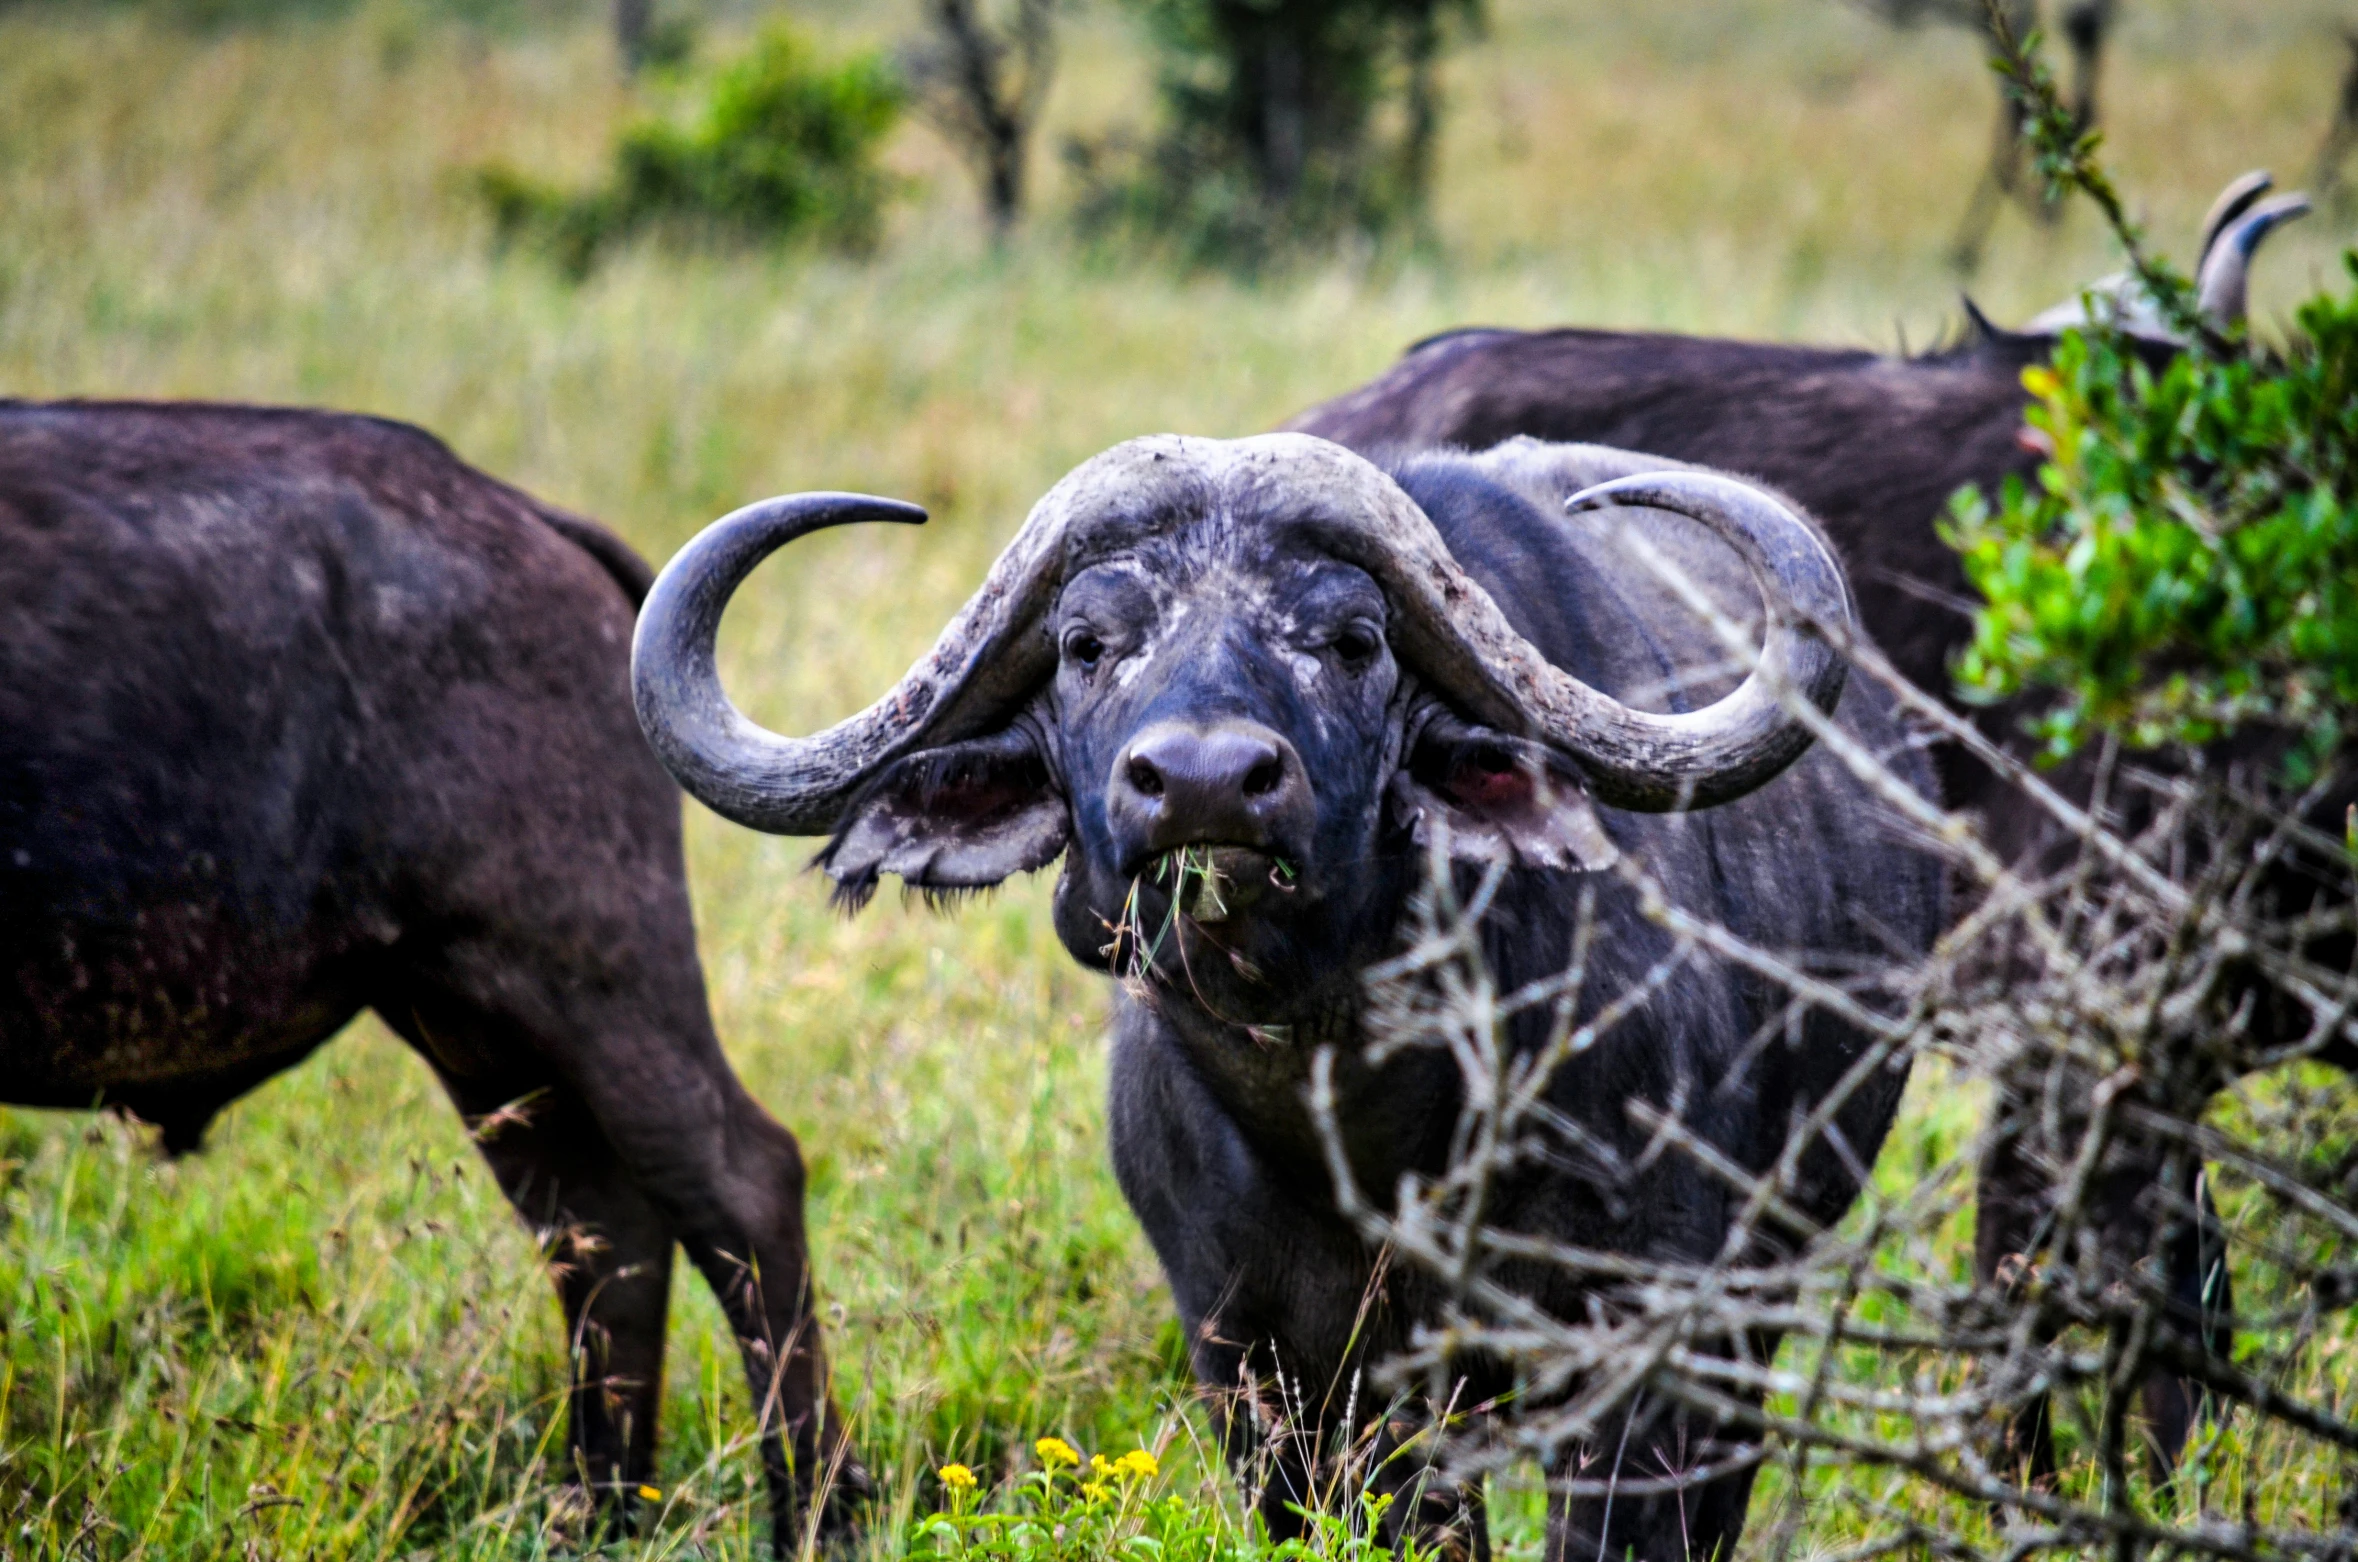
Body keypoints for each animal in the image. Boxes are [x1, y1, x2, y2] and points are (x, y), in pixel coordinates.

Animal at [0, 401, 867, 1557]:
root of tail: (518, 514)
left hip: (588, 967)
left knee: (739, 1184)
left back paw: (814, 1511)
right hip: (474, 1022)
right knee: (600, 1225)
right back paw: (598, 1506)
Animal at [636, 431, 1942, 1562]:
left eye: (1353, 637)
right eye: (1087, 642)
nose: (1204, 780)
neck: (1358, 1119)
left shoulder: (1644, 1336)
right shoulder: (1263, 1365)